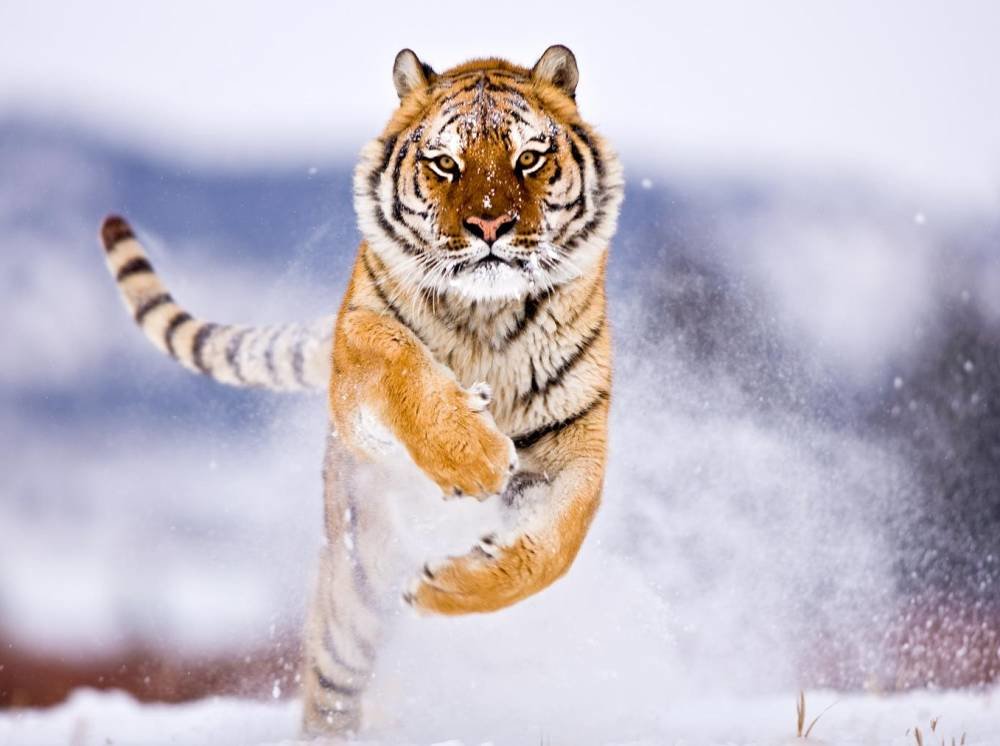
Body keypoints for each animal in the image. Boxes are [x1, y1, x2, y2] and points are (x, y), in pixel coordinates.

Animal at [98, 44, 623, 736]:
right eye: (445, 163)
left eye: (529, 158)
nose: (489, 224)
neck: (486, 317)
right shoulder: (357, 358)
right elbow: (398, 359)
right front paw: (474, 455)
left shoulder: (575, 438)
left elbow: (555, 546)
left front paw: (446, 586)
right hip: (354, 592)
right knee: (331, 686)